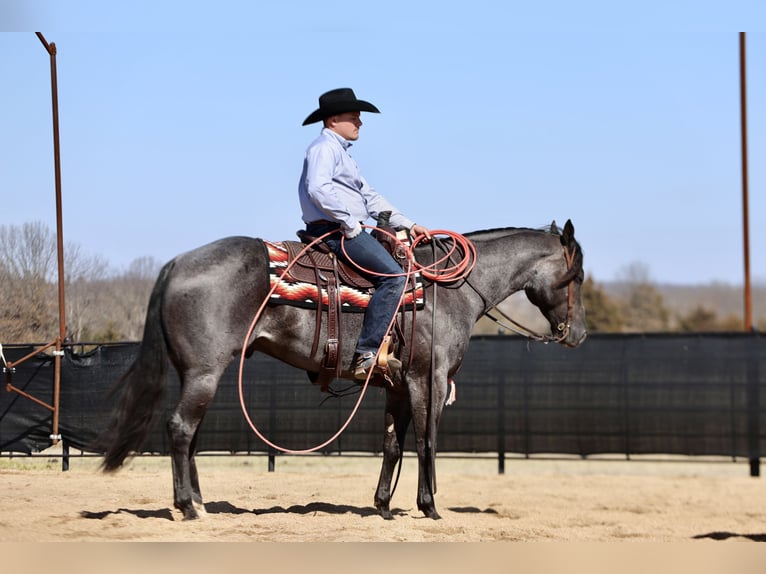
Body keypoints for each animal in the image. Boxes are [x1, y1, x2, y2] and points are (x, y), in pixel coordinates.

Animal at [94, 219, 588, 520]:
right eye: (578, 276)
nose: (579, 334)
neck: (449, 290)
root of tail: (178, 262)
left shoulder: (396, 385)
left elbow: (393, 445)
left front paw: (384, 506)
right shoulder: (426, 379)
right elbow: (427, 441)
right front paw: (429, 506)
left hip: (196, 374)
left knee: (190, 434)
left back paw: (199, 502)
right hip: (204, 371)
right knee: (180, 428)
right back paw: (187, 507)